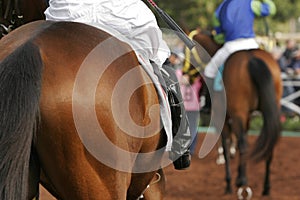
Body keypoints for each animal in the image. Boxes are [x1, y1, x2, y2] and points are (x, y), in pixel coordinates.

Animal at [191, 30, 282, 198]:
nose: (186, 73)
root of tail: (252, 58)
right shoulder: (245, 118)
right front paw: (238, 174)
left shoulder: (223, 118)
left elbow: (226, 146)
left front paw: (229, 182)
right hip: (270, 112)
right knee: (268, 146)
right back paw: (266, 188)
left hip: (238, 114)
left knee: (244, 145)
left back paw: (243, 183)